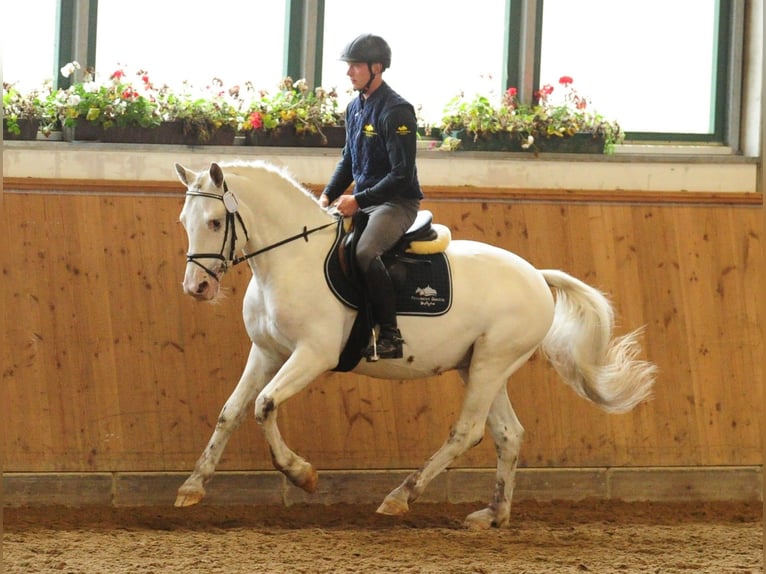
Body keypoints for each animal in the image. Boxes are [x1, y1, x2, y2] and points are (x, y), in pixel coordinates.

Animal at [174, 161, 660, 532]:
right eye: (184, 223)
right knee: (509, 434)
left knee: (467, 432)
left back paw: (401, 496)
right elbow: (231, 412)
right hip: (482, 366)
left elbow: (265, 405)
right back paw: (492, 514)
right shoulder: (267, 352)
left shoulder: (313, 355)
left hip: (490, 363)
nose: (197, 288)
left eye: (214, 222)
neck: (291, 259)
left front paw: (302, 475)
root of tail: (537, 276)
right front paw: (192, 487)